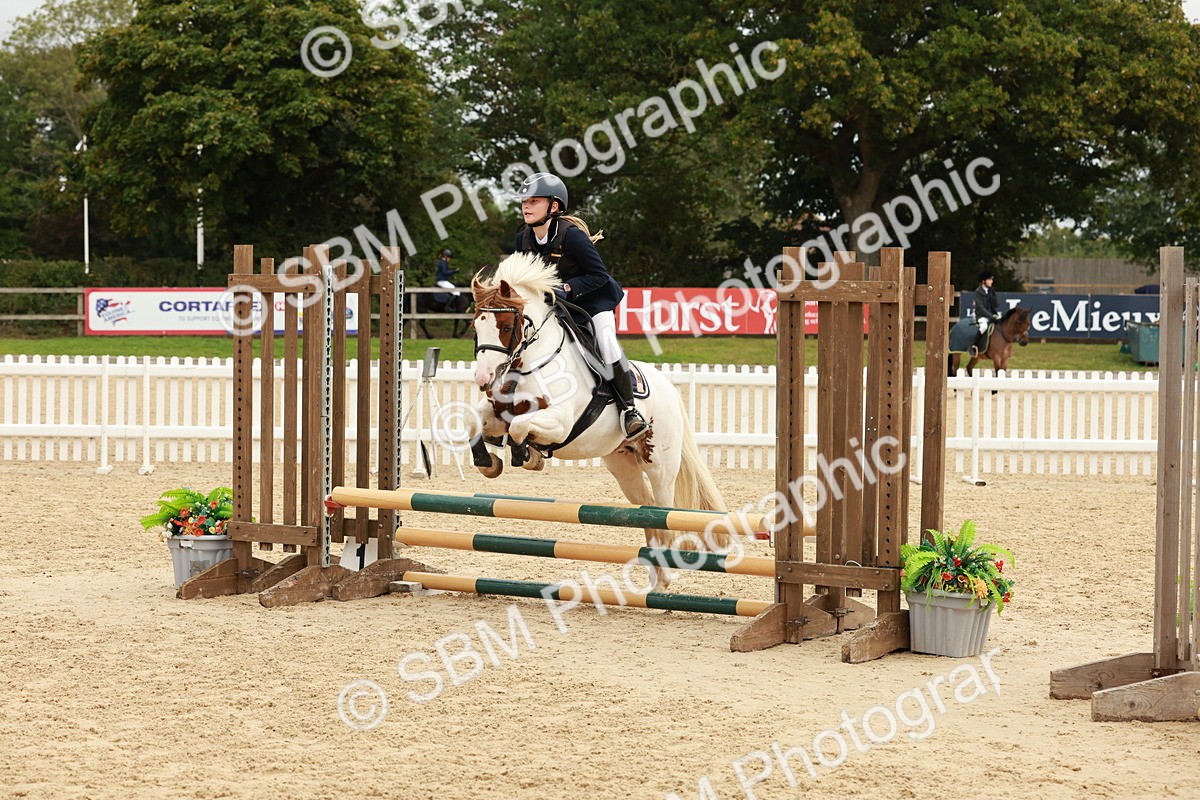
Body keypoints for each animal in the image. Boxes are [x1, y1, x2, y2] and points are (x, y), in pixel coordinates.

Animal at [465, 252, 730, 589]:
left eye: (507, 325)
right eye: (476, 325)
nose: (483, 378)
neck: (530, 362)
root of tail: (669, 388)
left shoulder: (560, 422)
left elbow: (520, 427)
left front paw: (526, 455)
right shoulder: (498, 410)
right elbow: (474, 420)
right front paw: (489, 462)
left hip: (660, 466)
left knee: (663, 515)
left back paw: (663, 582)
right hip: (623, 467)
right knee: (646, 514)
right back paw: (653, 583)